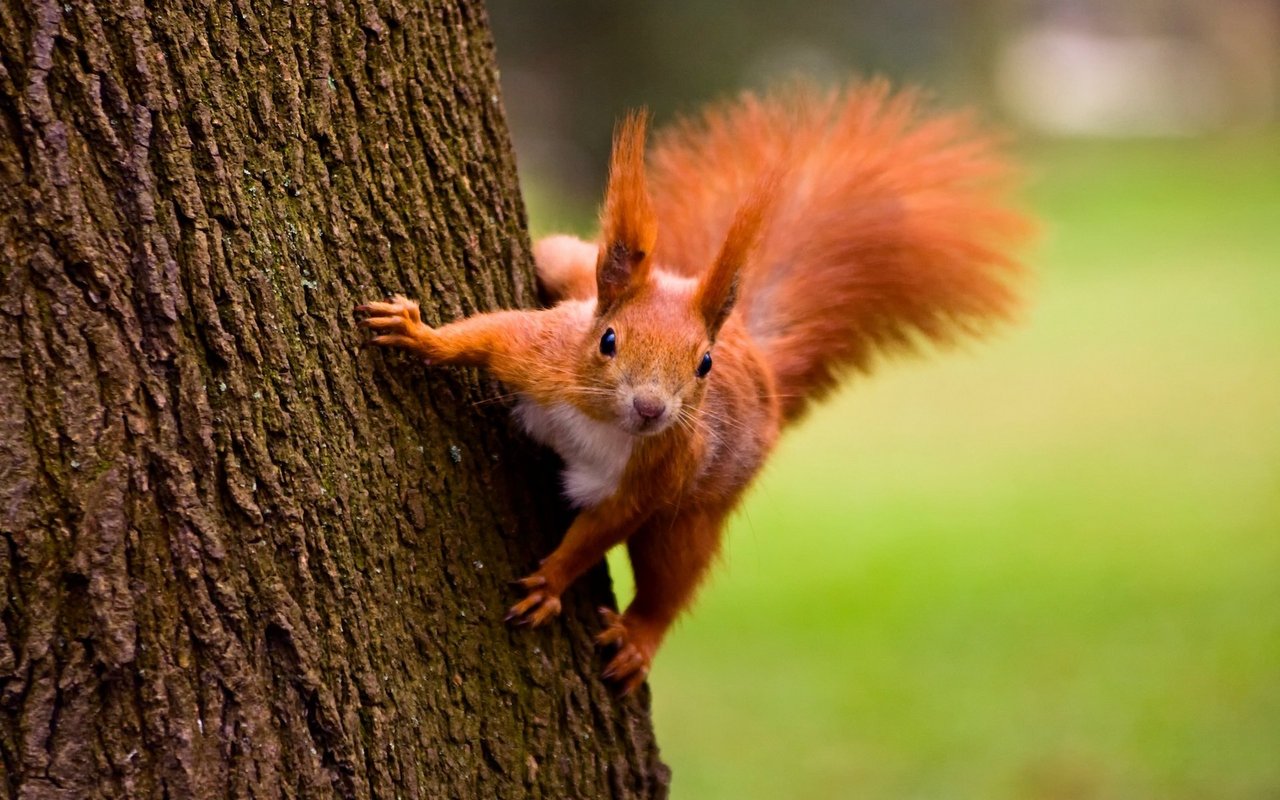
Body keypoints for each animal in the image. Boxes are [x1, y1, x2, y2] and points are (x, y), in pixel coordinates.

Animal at [358, 81, 1028, 694]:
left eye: (703, 364)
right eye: (607, 341)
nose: (651, 408)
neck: (602, 421)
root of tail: (759, 360)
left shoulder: (657, 474)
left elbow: (600, 530)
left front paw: (552, 582)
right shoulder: (542, 356)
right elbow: (487, 335)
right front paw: (418, 334)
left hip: (696, 512)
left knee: (672, 576)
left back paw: (639, 637)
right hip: (571, 270)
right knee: (560, 257)